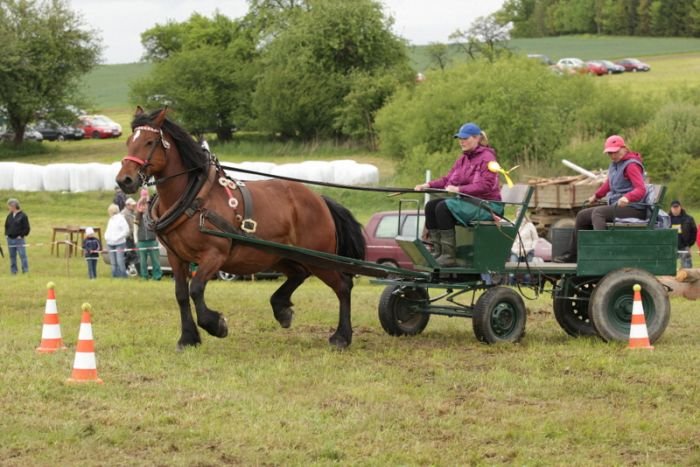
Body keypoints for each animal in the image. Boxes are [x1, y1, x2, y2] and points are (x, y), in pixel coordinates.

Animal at [115, 109, 366, 350]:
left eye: (149, 142)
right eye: (128, 141)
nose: (124, 180)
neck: (194, 199)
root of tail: (320, 198)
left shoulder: (214, 254)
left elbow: (196, 288)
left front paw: (216, 324)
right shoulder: (176, 256)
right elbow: (181, 294)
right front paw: (188, 338)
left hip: (320, 257)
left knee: (343, 286)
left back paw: (342, 337)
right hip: (279, 255)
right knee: (299, 273)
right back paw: (281, 309)